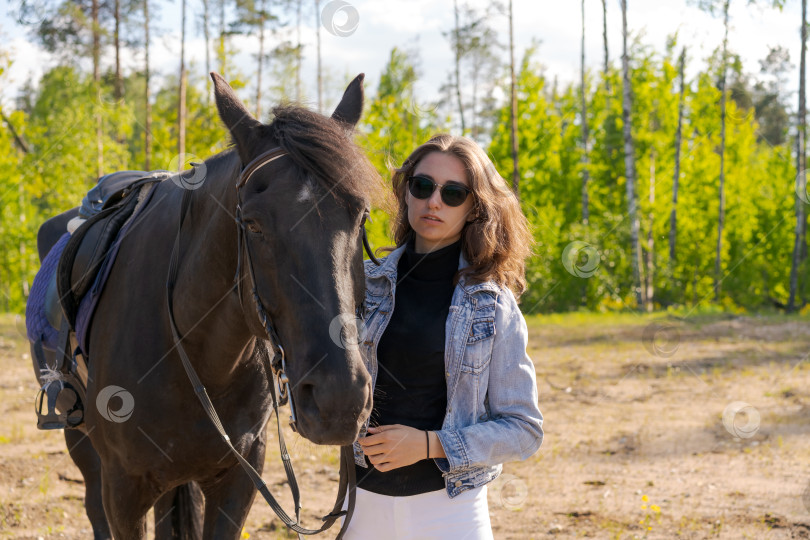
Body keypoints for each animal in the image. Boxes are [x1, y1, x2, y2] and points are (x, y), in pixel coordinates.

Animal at [31, 73, 378, 540]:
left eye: (361, 217)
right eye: (252, 224)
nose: (339, 399)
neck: (195, 354)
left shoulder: (237, 482)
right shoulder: (123, 490)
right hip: (81, 443)